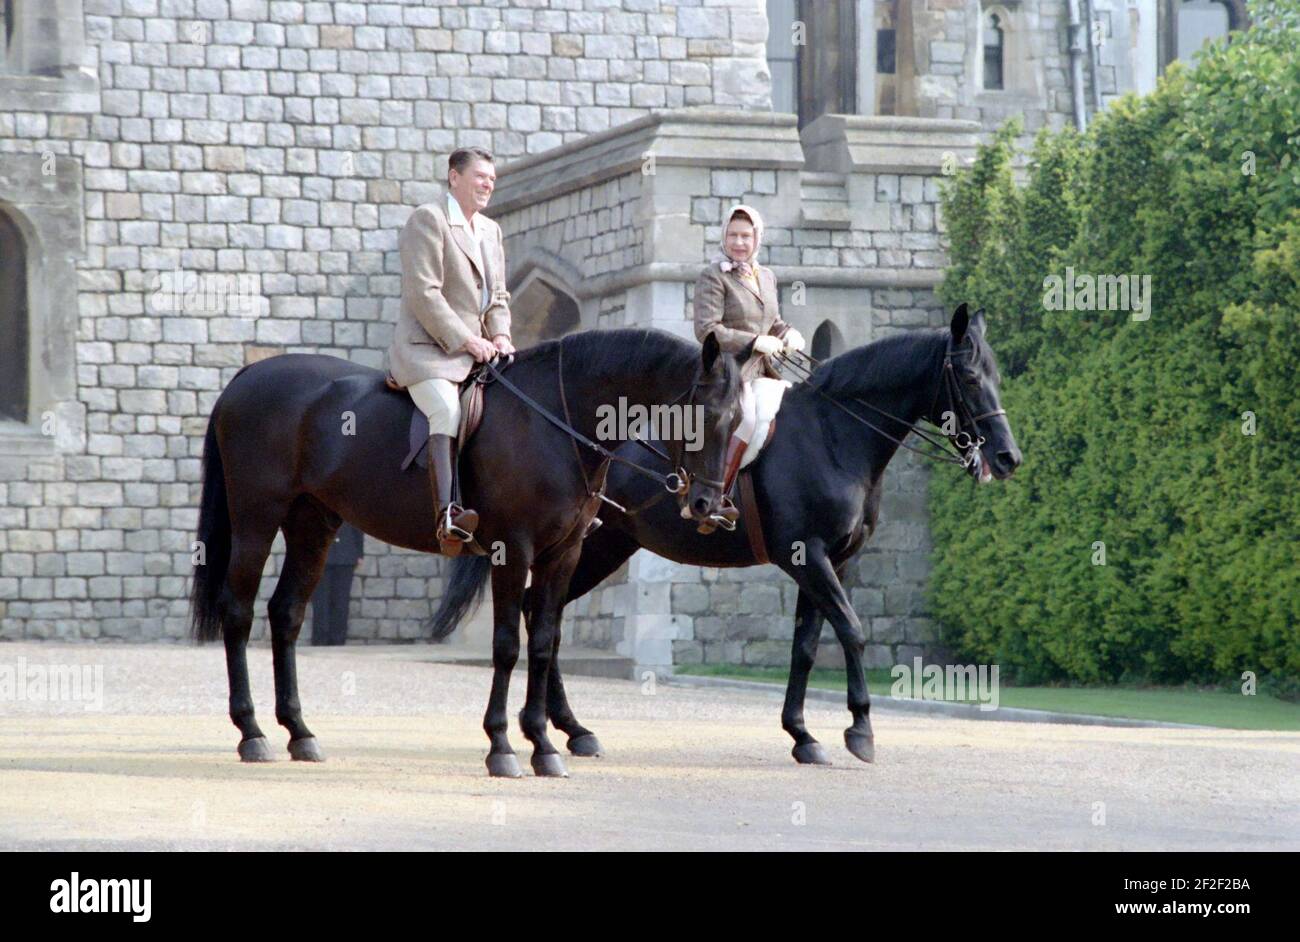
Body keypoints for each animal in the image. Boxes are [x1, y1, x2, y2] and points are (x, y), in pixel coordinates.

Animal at [189, 327, 743, 774]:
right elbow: (507, 645)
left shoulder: (561, 555)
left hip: (312, 524)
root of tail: (248, 376)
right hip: (257, 518)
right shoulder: (511, 550)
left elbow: (543, 642)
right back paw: (252, 732)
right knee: (238, 612)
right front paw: (503, 745)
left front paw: (543, 745)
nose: (707, 504)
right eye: (703, 413)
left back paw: (299, 733)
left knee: (286, 614)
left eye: (738, 419)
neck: (555, 420)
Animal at [441, 305, 1019, 769]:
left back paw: (570, 729)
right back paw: (559, 728)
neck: (833, 433)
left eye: (995, 373)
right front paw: (860, 731)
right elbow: (851, 631)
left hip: (597, 547)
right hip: (584, 548)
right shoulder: (808, 557)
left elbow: (807, 645)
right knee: (543, 615)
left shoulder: (833, 561)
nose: (1007, 456)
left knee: (546, 617)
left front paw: (803, 735)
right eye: (970, 376)